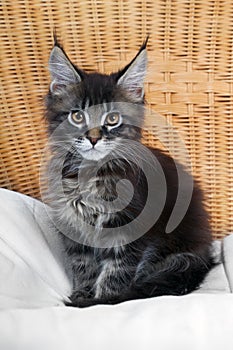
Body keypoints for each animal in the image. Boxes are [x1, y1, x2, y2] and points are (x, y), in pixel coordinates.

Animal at [45, 37, 215, 308]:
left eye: (113, 118)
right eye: (77, 116)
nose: (94, 138)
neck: (92, 173)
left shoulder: (131, 232)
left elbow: (115, 273)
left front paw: (103, 300)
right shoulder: (74, 228)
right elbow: (83, 267)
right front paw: (83, 294)